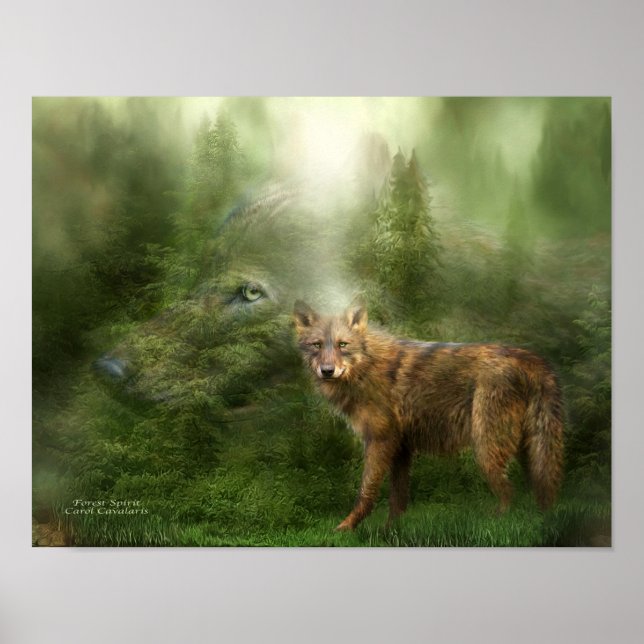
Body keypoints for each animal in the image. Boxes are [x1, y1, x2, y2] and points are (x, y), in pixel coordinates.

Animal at [293, 301, 564, 531]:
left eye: (343, 345)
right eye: (317, 345)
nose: (327, 371)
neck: (366, 368)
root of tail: (528, 357)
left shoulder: (380, 442)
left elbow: (366, 492)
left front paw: (346, 528)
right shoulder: (401, 448)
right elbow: (398, 498)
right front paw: (391, 530)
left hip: (486, 451)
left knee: (510, 494)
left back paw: (498, 521)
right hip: (527, 450)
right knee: (536, 492)